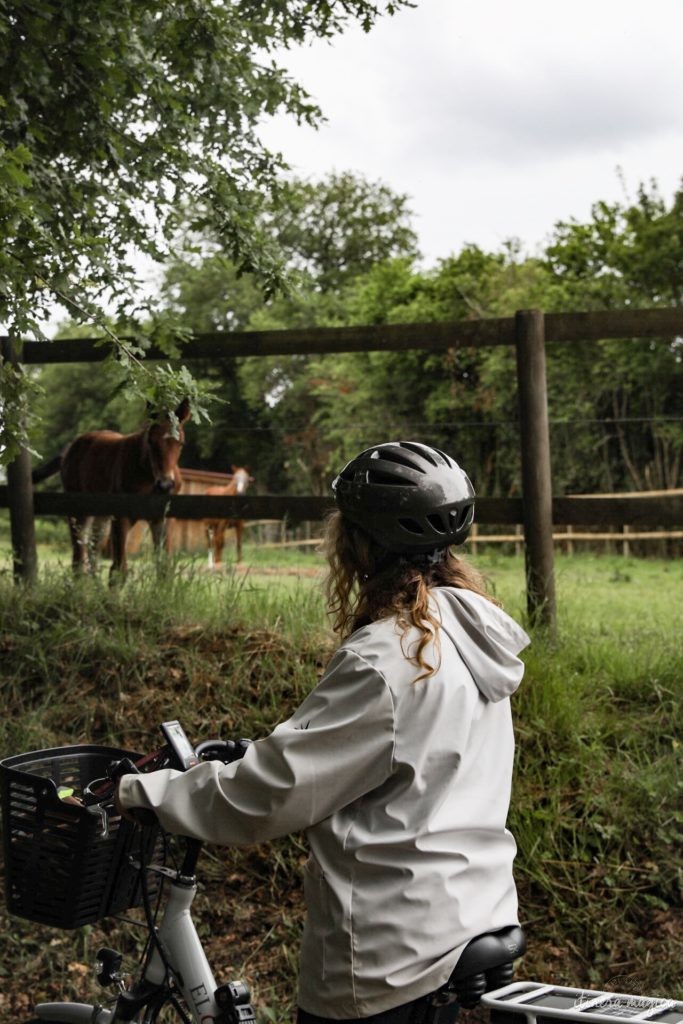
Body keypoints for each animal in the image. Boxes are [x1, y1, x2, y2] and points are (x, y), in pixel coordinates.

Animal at [33, 397, 189, 577]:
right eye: (151, 441)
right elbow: (119, 569)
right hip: (79, 513)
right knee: (79, 558)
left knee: (93, 555)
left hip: (102, 518)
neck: (147, 475)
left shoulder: (161, 519)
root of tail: (69, 449)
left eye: (181, 443)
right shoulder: (121, 517)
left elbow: (164, 568)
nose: (165, 485)